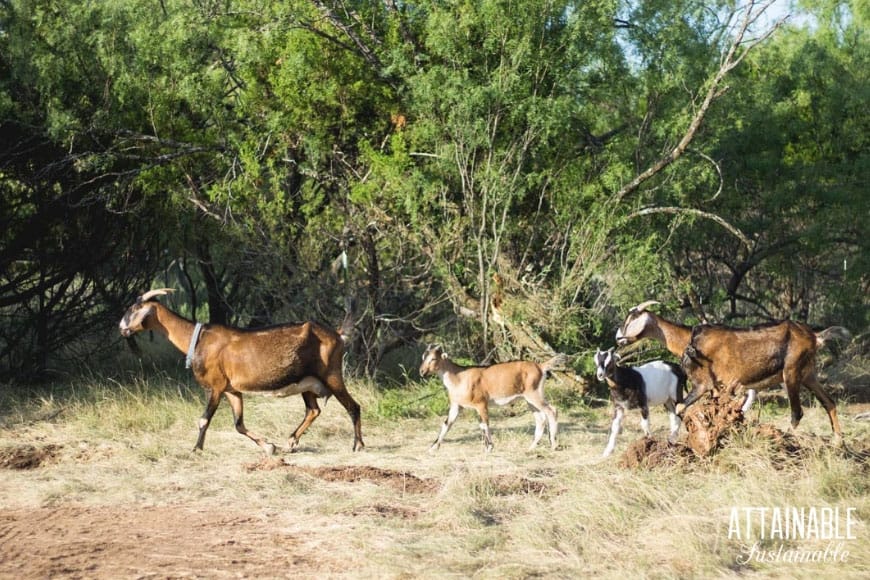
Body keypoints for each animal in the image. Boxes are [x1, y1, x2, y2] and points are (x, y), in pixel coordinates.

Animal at [119, 288, 364, 454]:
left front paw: (196, 449)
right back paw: (290, 441)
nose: (122, 328)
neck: (198, 338)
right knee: (313, 410)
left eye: (133, 309)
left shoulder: (215, 386)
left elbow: (204, 419)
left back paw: (358, 445)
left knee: (353, 407)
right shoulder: (231, 390)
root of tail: (337, 334)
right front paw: (269, 446)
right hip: (307, 383)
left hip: (332, 375)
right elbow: (239, 424)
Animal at [620, 302, 852, 438]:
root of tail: (815, 337)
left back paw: (785, 437)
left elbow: (679, 408)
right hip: (808, 374)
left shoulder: (703, 384)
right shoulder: (716, 389)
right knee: (829, 402)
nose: (618, 337)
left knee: (797, 412)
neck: (690, 339)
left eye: (630, 320)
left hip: (791, 373)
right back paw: (838, 442)